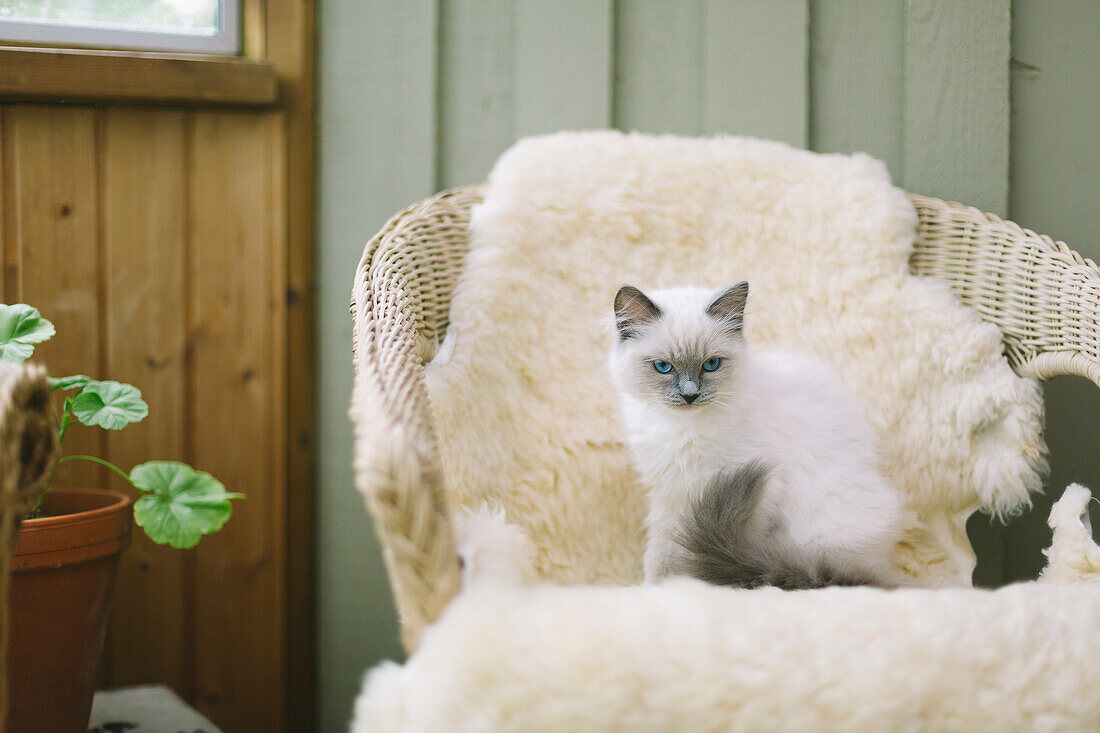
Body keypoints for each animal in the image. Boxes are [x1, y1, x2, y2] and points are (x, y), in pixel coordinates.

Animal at [611, 279, 910, 589]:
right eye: (663, 367)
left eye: (711, 365)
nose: (690, 395)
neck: (681, 429)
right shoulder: (670, 493)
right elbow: (660, 550)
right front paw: (657, 586)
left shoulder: (752, 489)